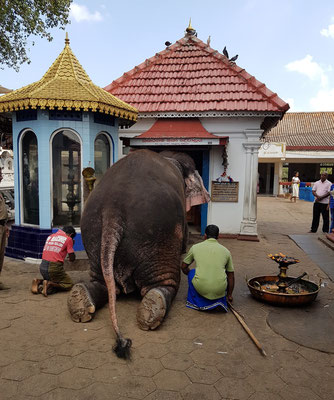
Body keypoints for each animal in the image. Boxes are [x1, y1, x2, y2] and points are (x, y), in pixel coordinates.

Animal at [66, 148, 210, 358]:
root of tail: (113, 208)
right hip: (158, 236)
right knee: (163, 281)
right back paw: (153, 308)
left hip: (92, 232)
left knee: (103, 282)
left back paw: (80, 302)